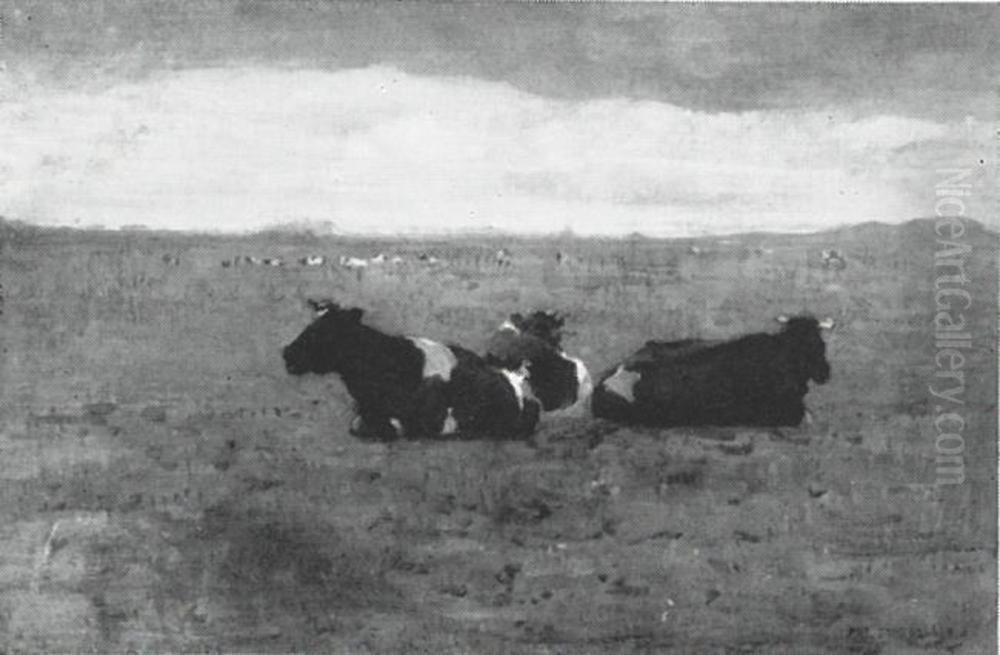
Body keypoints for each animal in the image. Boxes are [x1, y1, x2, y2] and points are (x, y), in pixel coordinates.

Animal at [282, 300, 540, 440]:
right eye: (311, 324)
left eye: (326, 330)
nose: (287, 353)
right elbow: (358, 425)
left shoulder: (425, 420)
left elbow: (384, 427)